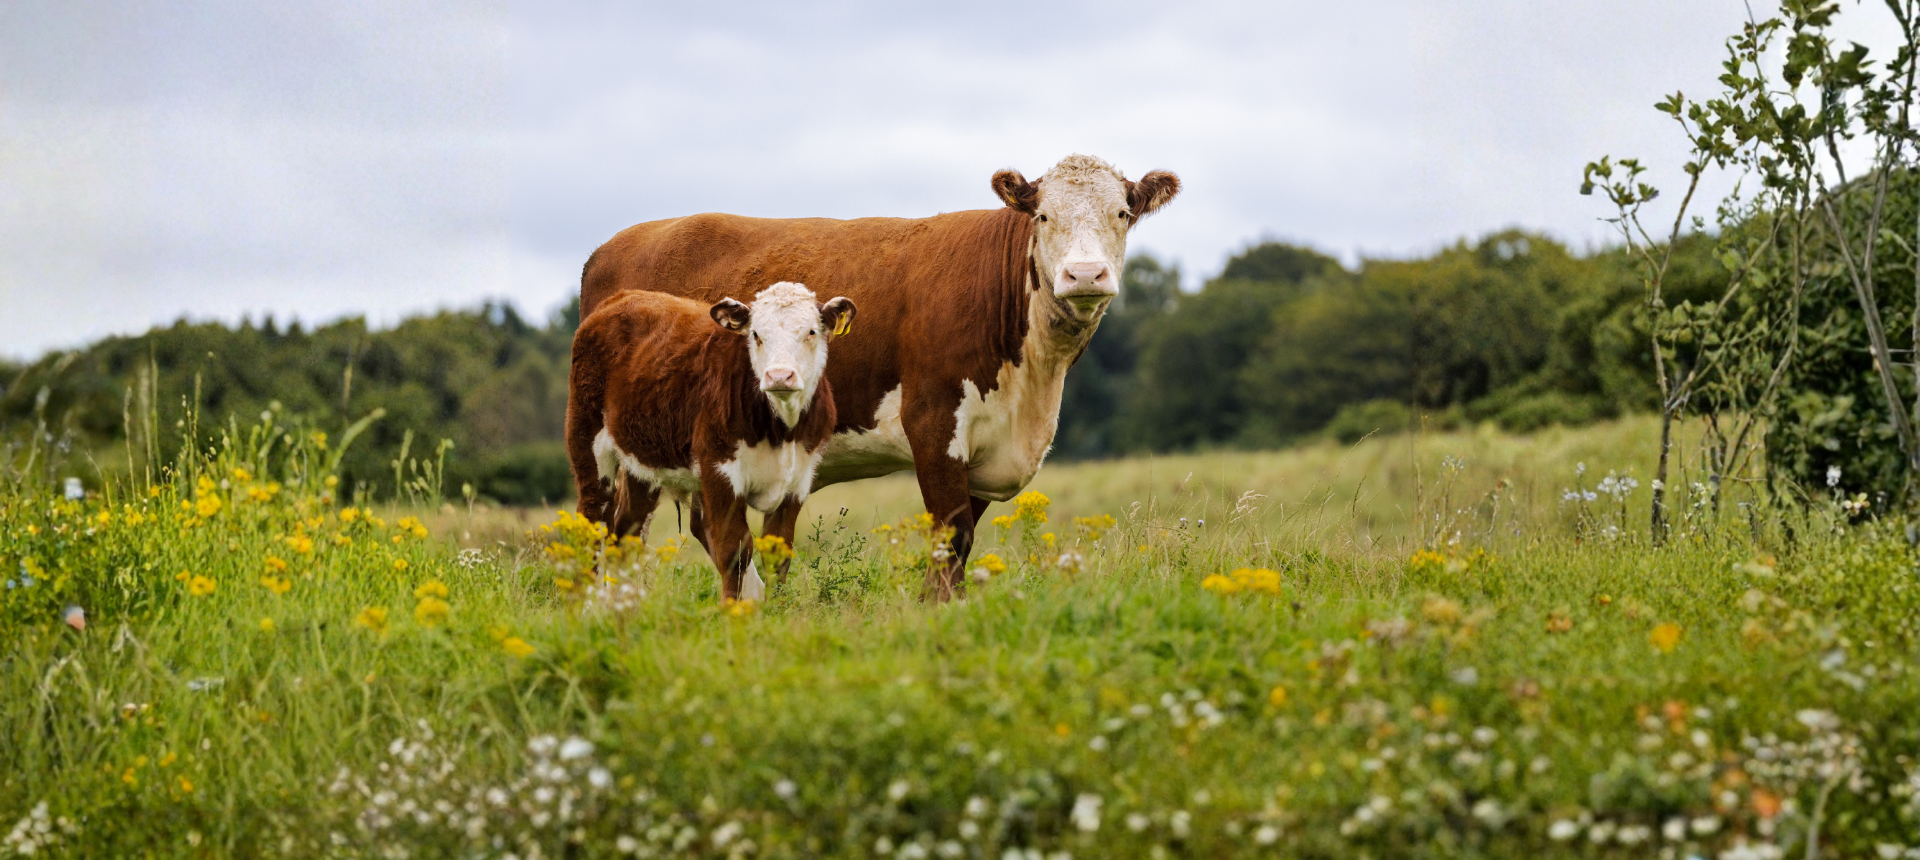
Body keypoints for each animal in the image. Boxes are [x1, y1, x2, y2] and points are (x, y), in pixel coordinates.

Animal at [565, 281, 857, 602]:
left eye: (811, 332)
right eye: (756, 334)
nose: (780, 375)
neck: (781, 430)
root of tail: (623, 297)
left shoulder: (798, 480)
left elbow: (778, 555)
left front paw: (775, 609)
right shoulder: (719, 470)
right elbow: (734, 549)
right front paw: (732, 610)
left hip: (641, 461)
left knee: (626, 532)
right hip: (587, 441)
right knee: (591, 522)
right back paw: (583, 605)